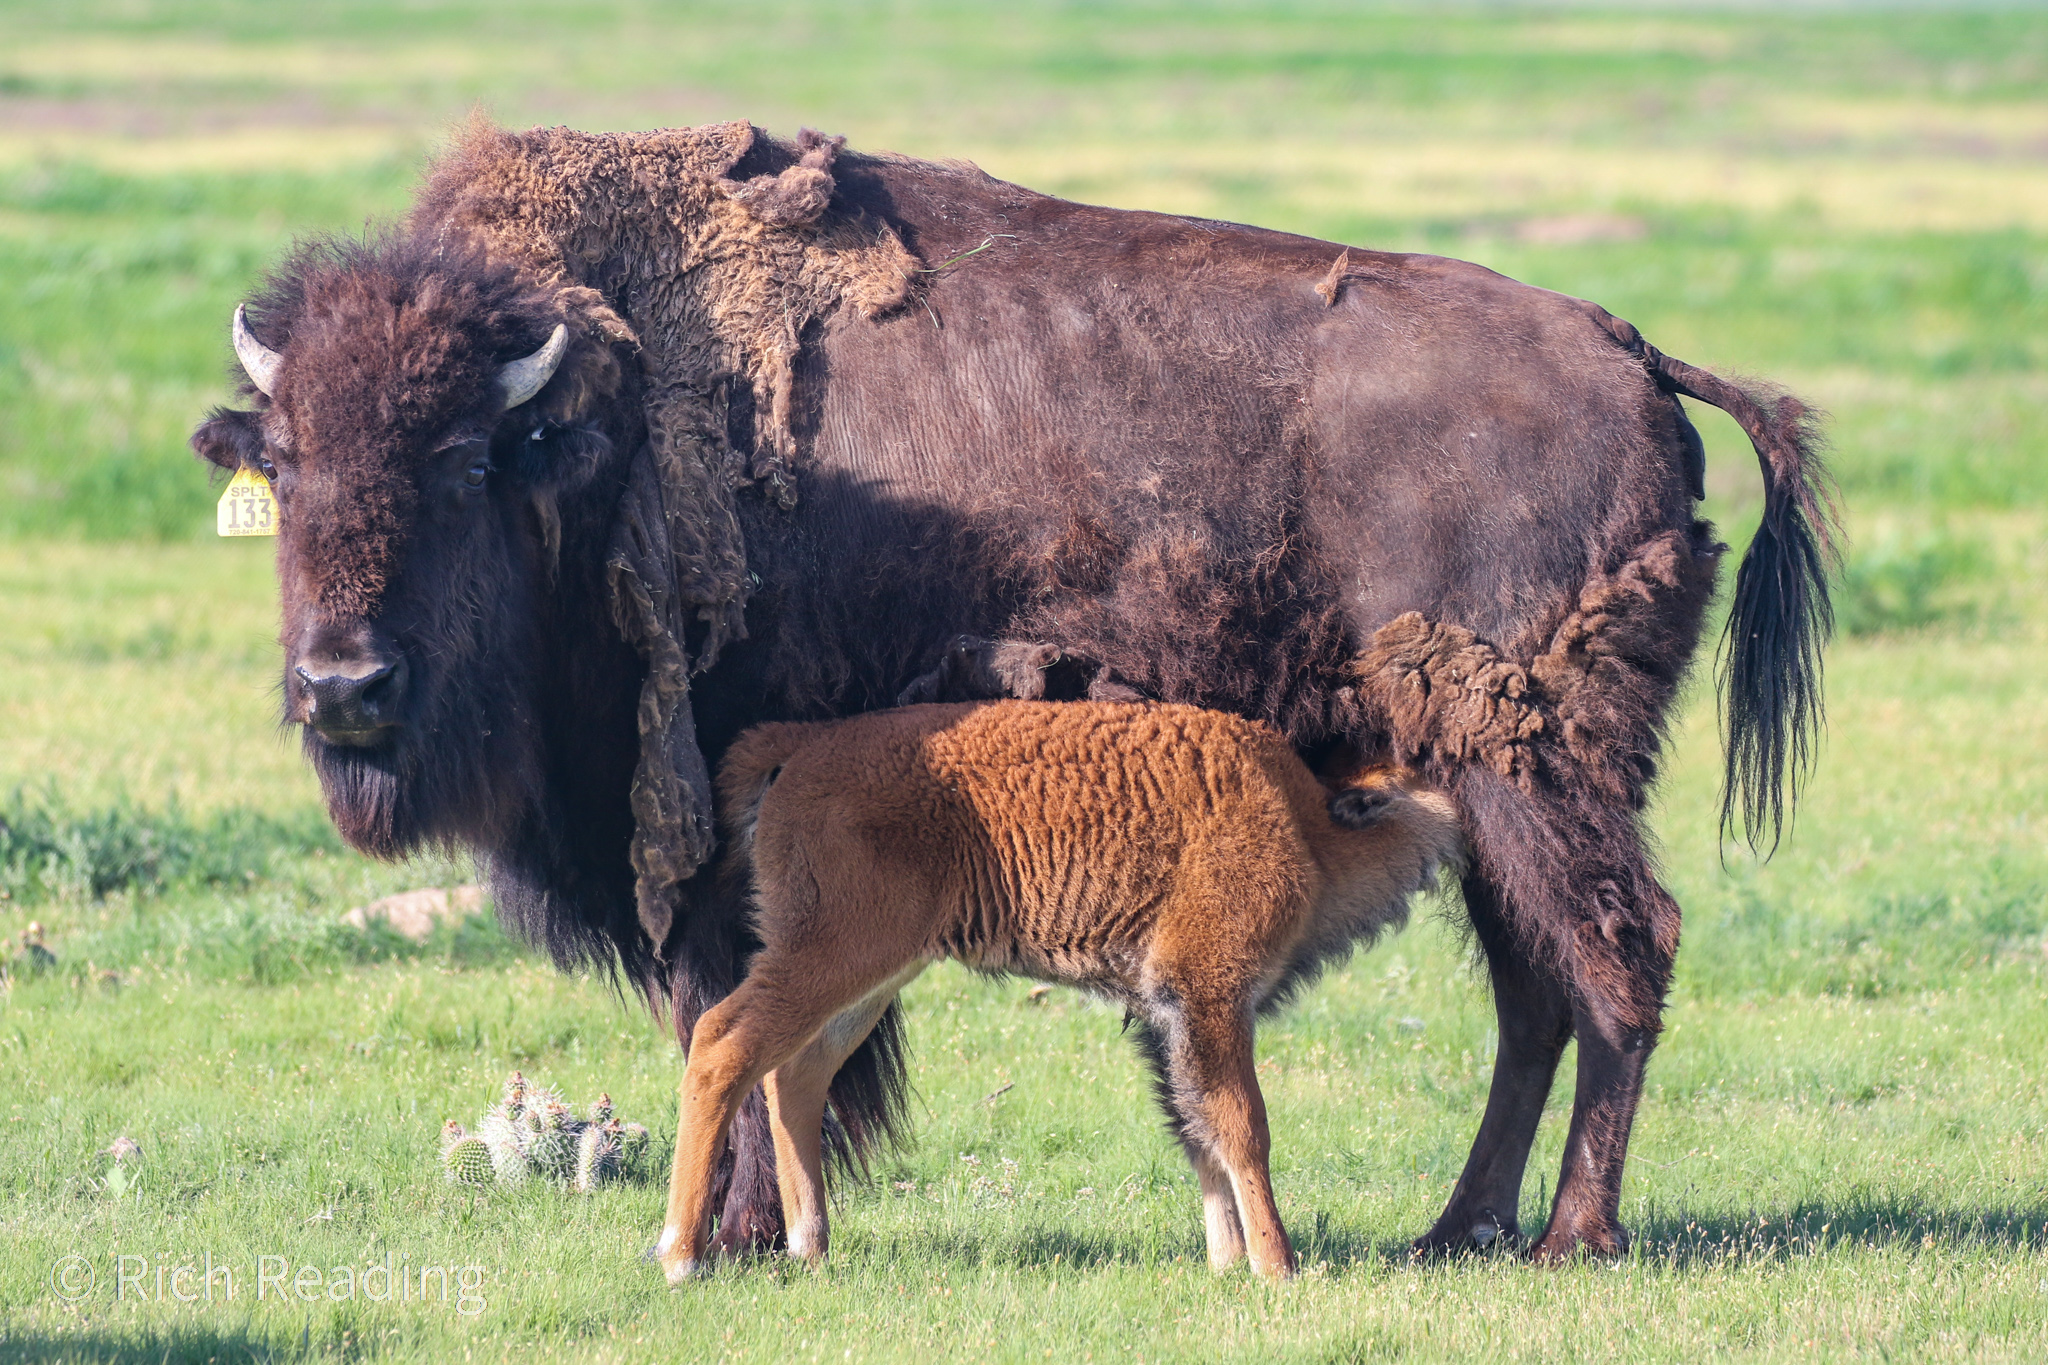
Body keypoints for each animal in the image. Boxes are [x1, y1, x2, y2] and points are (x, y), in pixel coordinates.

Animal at [191, 120, 1831, 1264]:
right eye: (287, 461)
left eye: (467, 460)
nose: (344, 684)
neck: (610, 424)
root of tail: (1631, 353)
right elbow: (755, 1028)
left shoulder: (715, 830)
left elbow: (729, 1011)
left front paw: (734, 1234)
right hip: (1479, 785)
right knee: (1535, 987)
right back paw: (1456, 1228)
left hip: (1535, 774)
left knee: (1615, 960)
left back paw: (1570, 1235)